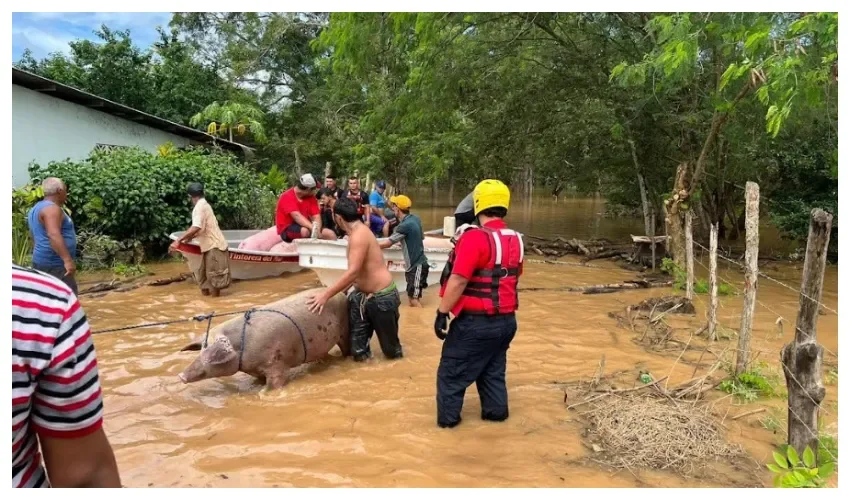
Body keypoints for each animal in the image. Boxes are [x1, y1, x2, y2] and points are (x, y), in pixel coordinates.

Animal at [177, 290, 350, 390]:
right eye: (201, 348)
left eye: (209, 352)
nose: (181, 376)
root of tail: (342, 295)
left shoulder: (275, 363)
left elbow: (274, 385)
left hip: (345, 329)